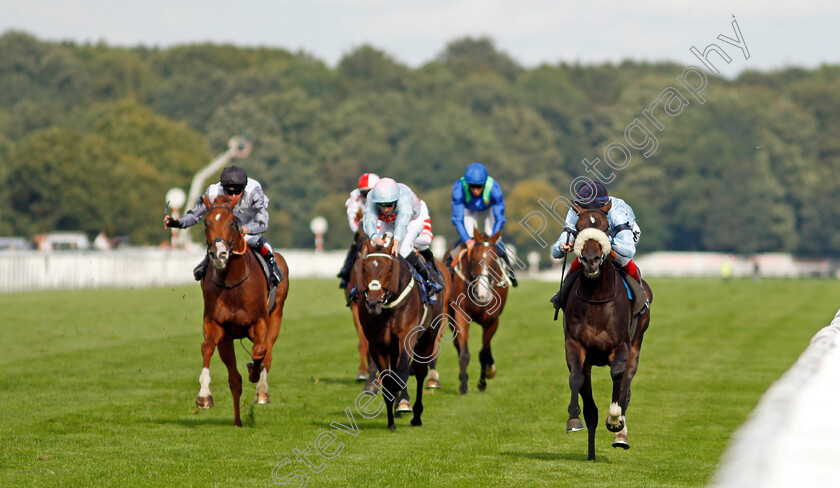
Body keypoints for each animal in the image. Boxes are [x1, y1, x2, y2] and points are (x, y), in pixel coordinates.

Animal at [195, 193, 290, 426]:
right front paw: (204, 396)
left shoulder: (260, 322)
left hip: (276, 316)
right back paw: (237, 421)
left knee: (268, 354)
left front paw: (256, 377)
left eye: (232, 222)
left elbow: (260, 352)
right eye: (206, 222)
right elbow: (207, 347)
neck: (232, 282)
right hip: (228, 339)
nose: (219, 254)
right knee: (234, 379)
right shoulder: (216, 325)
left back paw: (261, 390)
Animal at [352, 238, 450, 428]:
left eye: (390, 268)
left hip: (428, 336)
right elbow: (387, 379)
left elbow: (403, 370)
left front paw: (403, 402)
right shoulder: (376, 343)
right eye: (365, 267)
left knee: (420, 372)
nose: (373, 302)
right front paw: (391, 421)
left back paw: (415, 415)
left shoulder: (407, 335)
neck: (389, 307)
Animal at [564, 203, 648, 462]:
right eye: (578, 227)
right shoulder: (575, 345)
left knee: (626, 386)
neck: (597, 299)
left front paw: (614, 419)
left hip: (637, 344)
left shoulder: (620, 346)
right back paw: (591, 453)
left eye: (605, 228)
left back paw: (620, 433)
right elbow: (576, 378)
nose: (590, 260)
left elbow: (618, 377)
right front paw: (573, 419)